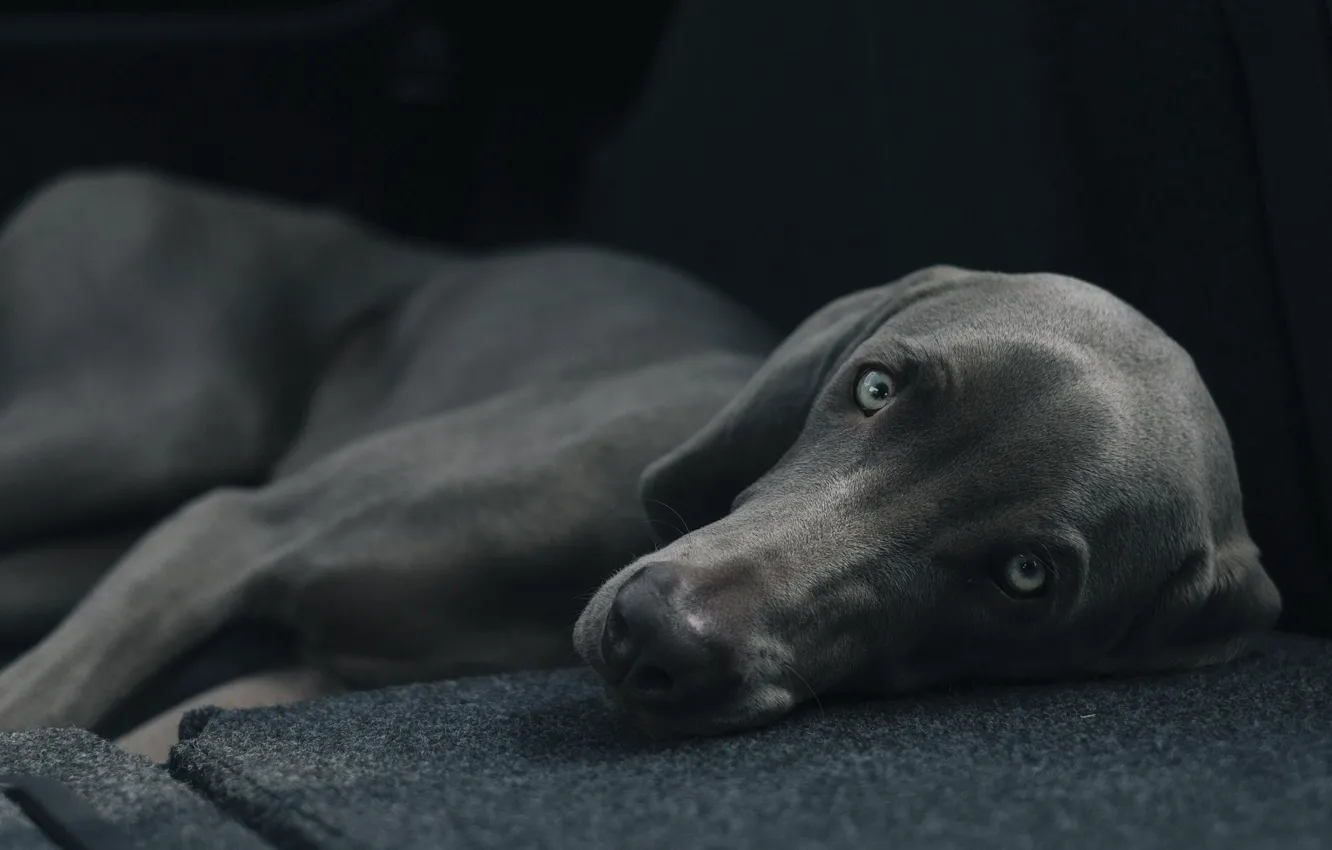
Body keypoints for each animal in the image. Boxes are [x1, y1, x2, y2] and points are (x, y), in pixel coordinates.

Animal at [0, 171, 1278, 746]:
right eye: (874, 387)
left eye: (1026, 578)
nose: (652, 633)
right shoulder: (231, 529)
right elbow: (37, 706)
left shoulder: (296, 678)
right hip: (148, 417)